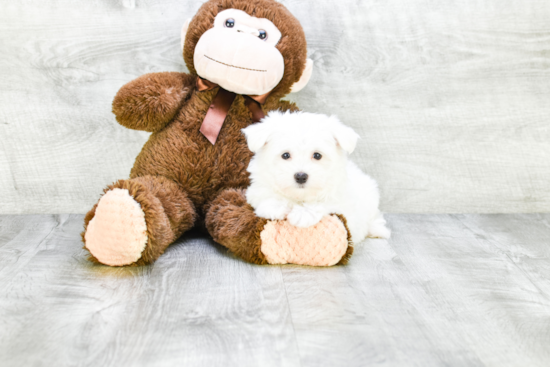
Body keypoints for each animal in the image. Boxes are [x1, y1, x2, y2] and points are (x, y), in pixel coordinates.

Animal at [243, 112, 392, 244]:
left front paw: (303, 213)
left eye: (317, 155)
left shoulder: (345, 209)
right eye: (285, 155)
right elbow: (267, 195)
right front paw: (276, 205)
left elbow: (325, 202)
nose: (301, 176)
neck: (300, 197)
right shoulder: (256, 189)